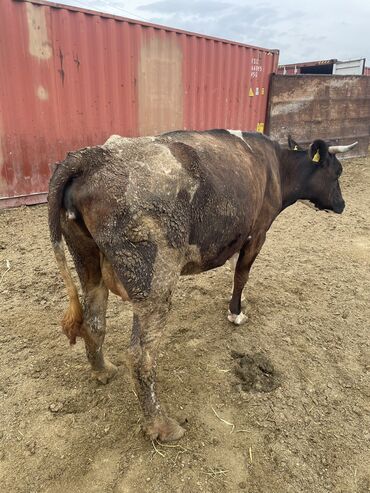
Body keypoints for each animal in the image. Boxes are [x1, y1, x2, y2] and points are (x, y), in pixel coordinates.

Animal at [47, 129, 356, 440]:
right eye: (337, 172)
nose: (342, 205)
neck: (277, 167)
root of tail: (90, 157)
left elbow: (235, 269)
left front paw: (240, 303)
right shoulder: (257, 232)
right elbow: (241, 273)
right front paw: (236, 312)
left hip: (87, 262)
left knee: (94, 322)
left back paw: (103, 371)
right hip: (155, 283)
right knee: (140, 355)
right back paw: (161, 425)